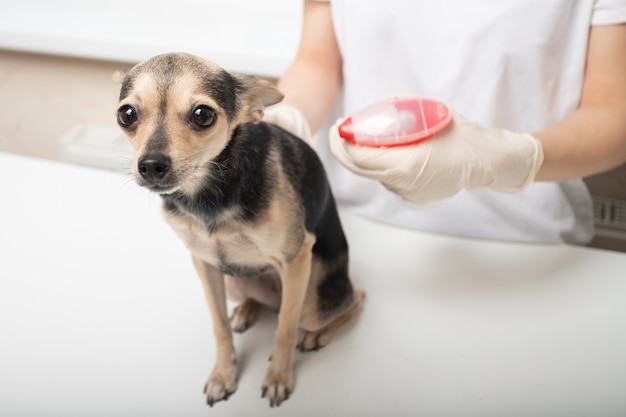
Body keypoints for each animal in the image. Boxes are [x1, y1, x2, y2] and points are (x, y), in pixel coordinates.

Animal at [116, 52, 366, 406]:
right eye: (126, 114)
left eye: (202, 115)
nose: (150, 165)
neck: (208, 194)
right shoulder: (204, 263)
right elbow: (218, 325)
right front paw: (224, 374)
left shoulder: (296, 257)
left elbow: (284, 329)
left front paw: (278, 376)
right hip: (233, 280)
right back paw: (246, 311)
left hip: (314, 300)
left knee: (350, 300)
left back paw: (316, 334)